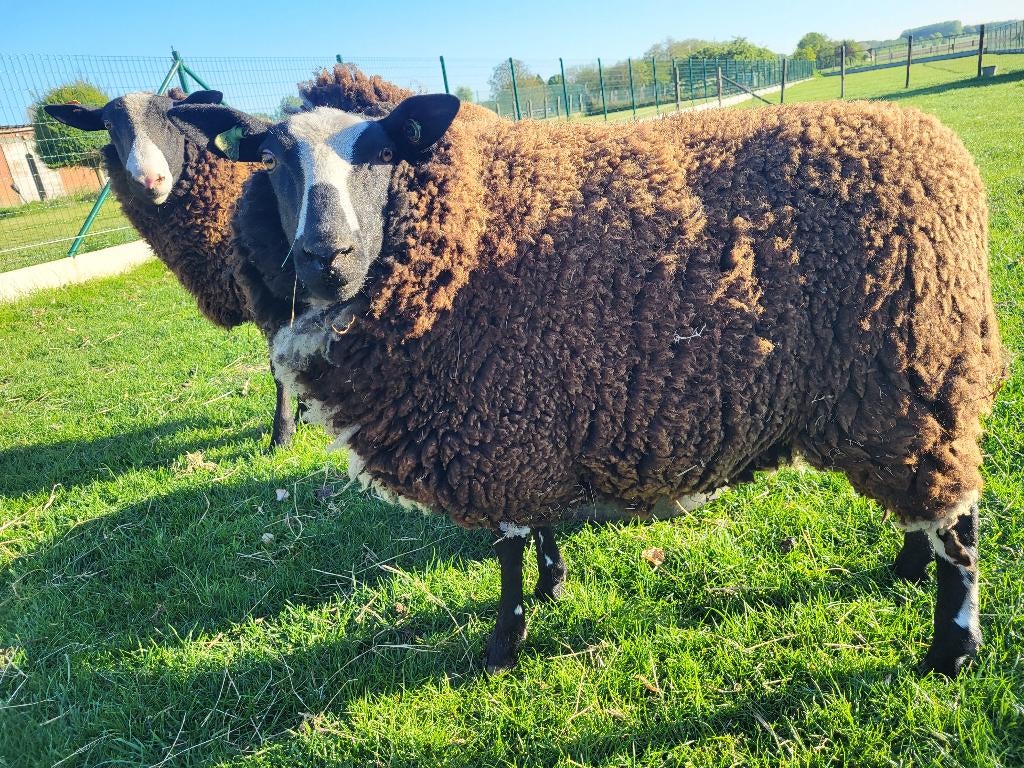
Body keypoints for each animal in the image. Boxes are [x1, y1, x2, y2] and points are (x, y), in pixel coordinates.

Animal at [173, 94, 1004, 678]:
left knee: (958, 521)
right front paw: (553, 583)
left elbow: (505, 553)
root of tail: (943, 149)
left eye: (382, 153)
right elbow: (535, 529)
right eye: (271, 158)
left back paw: (950, 650)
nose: (327, 255)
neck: (458, 244)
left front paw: (504, 643)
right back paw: (907, 565)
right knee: (929, 504)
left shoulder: (494, 423)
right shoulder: (526, 417)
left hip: (912, 370)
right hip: (895, 397)